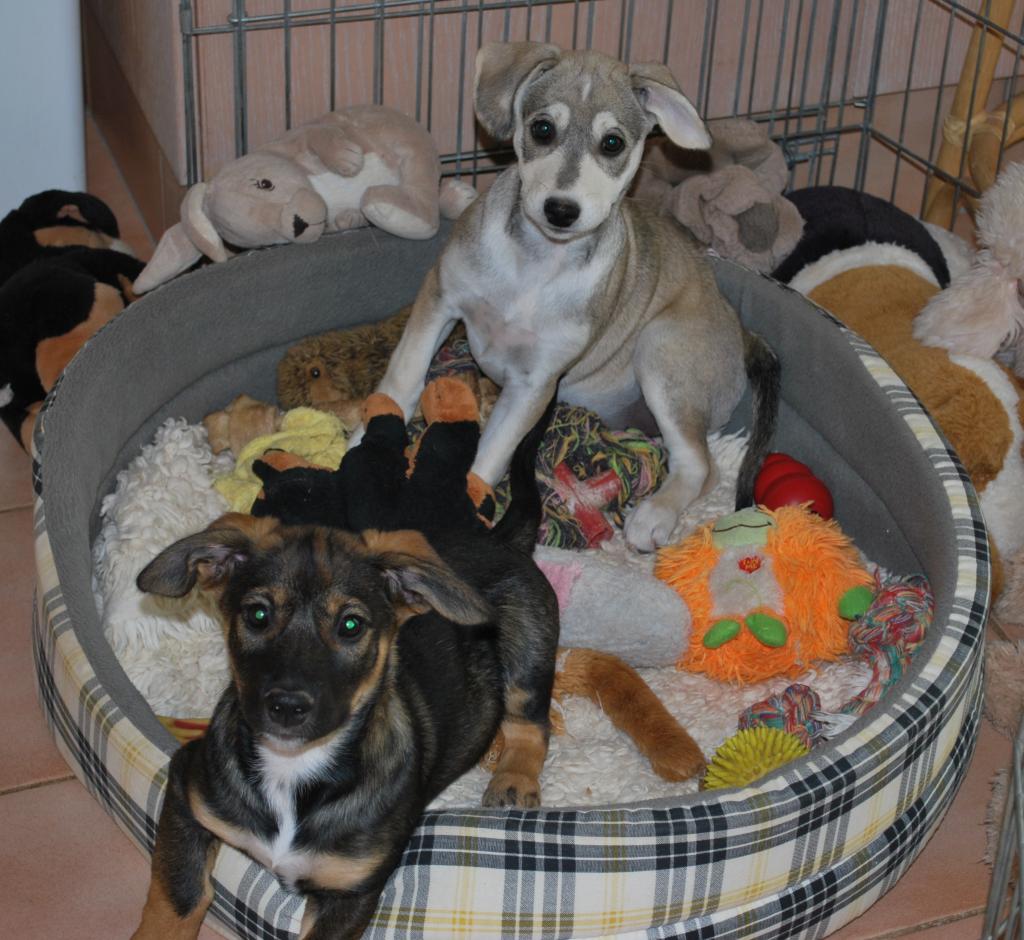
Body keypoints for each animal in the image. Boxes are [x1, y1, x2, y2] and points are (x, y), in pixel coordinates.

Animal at [131, 391, 559, 940]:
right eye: (257, 614)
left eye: (351, 626)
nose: (286, 707)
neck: (292, 770)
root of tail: (500, 540)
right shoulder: (188, 787)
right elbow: (180, 896)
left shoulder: (353, 891)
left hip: (528, 642)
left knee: (530, 723)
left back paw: (514, 780)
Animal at [359, 42, 780, 552]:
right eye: (542, 129)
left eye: (613, 143)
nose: (561, 210)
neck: (536, 265)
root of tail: (741, 331)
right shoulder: (440, 298)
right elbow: (401, 381)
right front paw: (360, 441)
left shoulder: (534, 384)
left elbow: (489, 456)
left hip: (659, 347)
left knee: (701, 464)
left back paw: (652, 516)